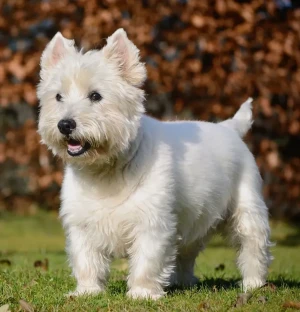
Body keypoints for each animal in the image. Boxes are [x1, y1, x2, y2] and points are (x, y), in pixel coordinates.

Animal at [37, 29, 272, 300]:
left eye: (95, 95)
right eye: (58, 96)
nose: (65, 125)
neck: (105, 170)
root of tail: (230, 128)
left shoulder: (152, 221)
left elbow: (147, 260)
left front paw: (142, 293)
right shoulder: (81, 223)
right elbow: (86, 259)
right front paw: (87, 292)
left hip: (246, 206)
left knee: (252, 245)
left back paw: (253, 284)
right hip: (194, 218)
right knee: (187, 252)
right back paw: (183, 282)